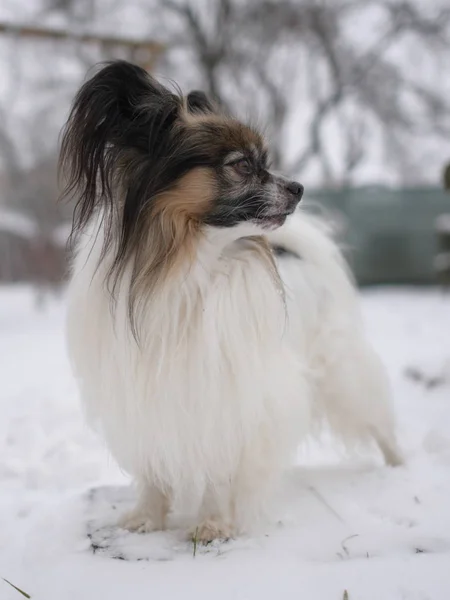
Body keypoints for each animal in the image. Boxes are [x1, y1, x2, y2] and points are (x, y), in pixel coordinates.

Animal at [59, 61, 400, 544]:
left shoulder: (230, 394)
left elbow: (221, 467)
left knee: (378, 419)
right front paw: (147, 517)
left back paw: (399, 468)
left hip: (341, 372)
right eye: (242, 166)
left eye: (266, 163)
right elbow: (152, 465)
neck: (187, 270)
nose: (298, 187)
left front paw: (213, 523)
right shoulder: (143, 393)